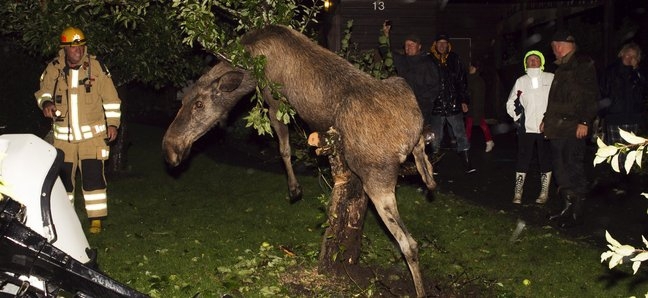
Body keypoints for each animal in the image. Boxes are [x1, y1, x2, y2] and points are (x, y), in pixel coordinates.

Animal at [162, 24, 436, 296]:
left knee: (409, 242)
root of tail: (408, 134)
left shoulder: (274, 97)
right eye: (183, 101)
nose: (170, 149)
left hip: (375, 176)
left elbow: (284, 148)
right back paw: (427, 171)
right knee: (426, 169)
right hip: (401, 91)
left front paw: (294, 189)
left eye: (199, 104)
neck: (250, 60)